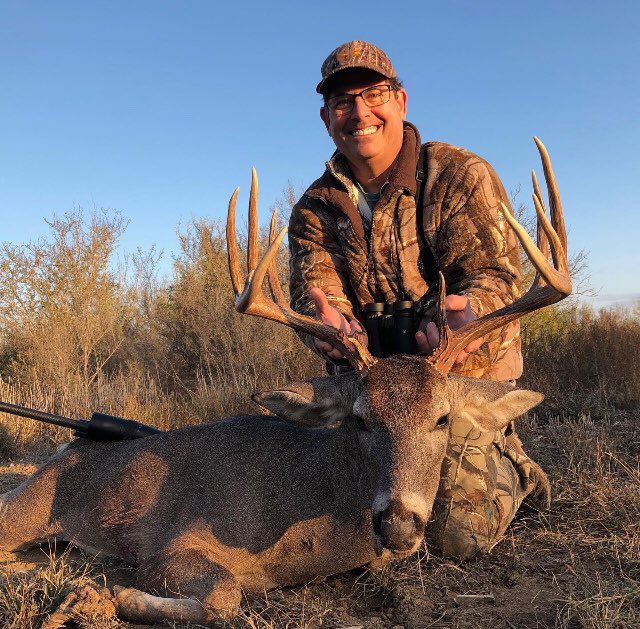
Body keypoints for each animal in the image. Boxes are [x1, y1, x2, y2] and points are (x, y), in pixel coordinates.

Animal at [0, 138, 570, 627]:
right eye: (361, 419)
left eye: (443, 417)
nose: (399, 524)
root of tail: (59, 453)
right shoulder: (171, 544)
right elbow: (225, 595)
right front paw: (116, 596)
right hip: (27, 510)